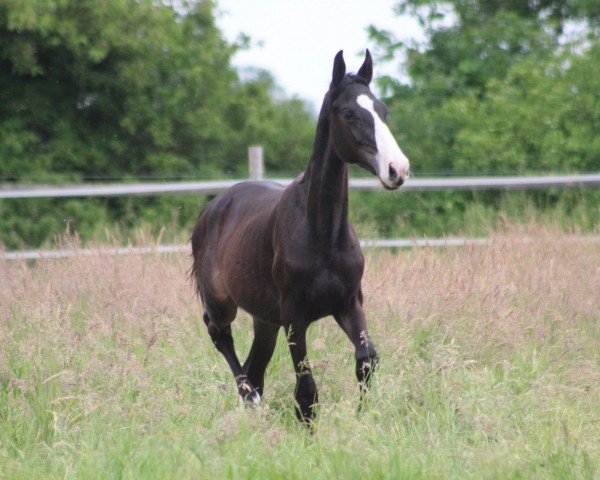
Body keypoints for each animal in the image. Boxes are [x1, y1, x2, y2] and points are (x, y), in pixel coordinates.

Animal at [190, 50, 410, 422]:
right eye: (349, 113)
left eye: (383, 111)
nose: (398, 170)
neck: (322, 236)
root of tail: (213, 208)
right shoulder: (295, 316)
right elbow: (306, 389)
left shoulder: (349, 303)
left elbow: (366, 360)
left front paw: (361, 417)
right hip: (222, 303)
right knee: (223, 341)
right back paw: (250, 399)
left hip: (265, 318)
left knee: (255, 365)